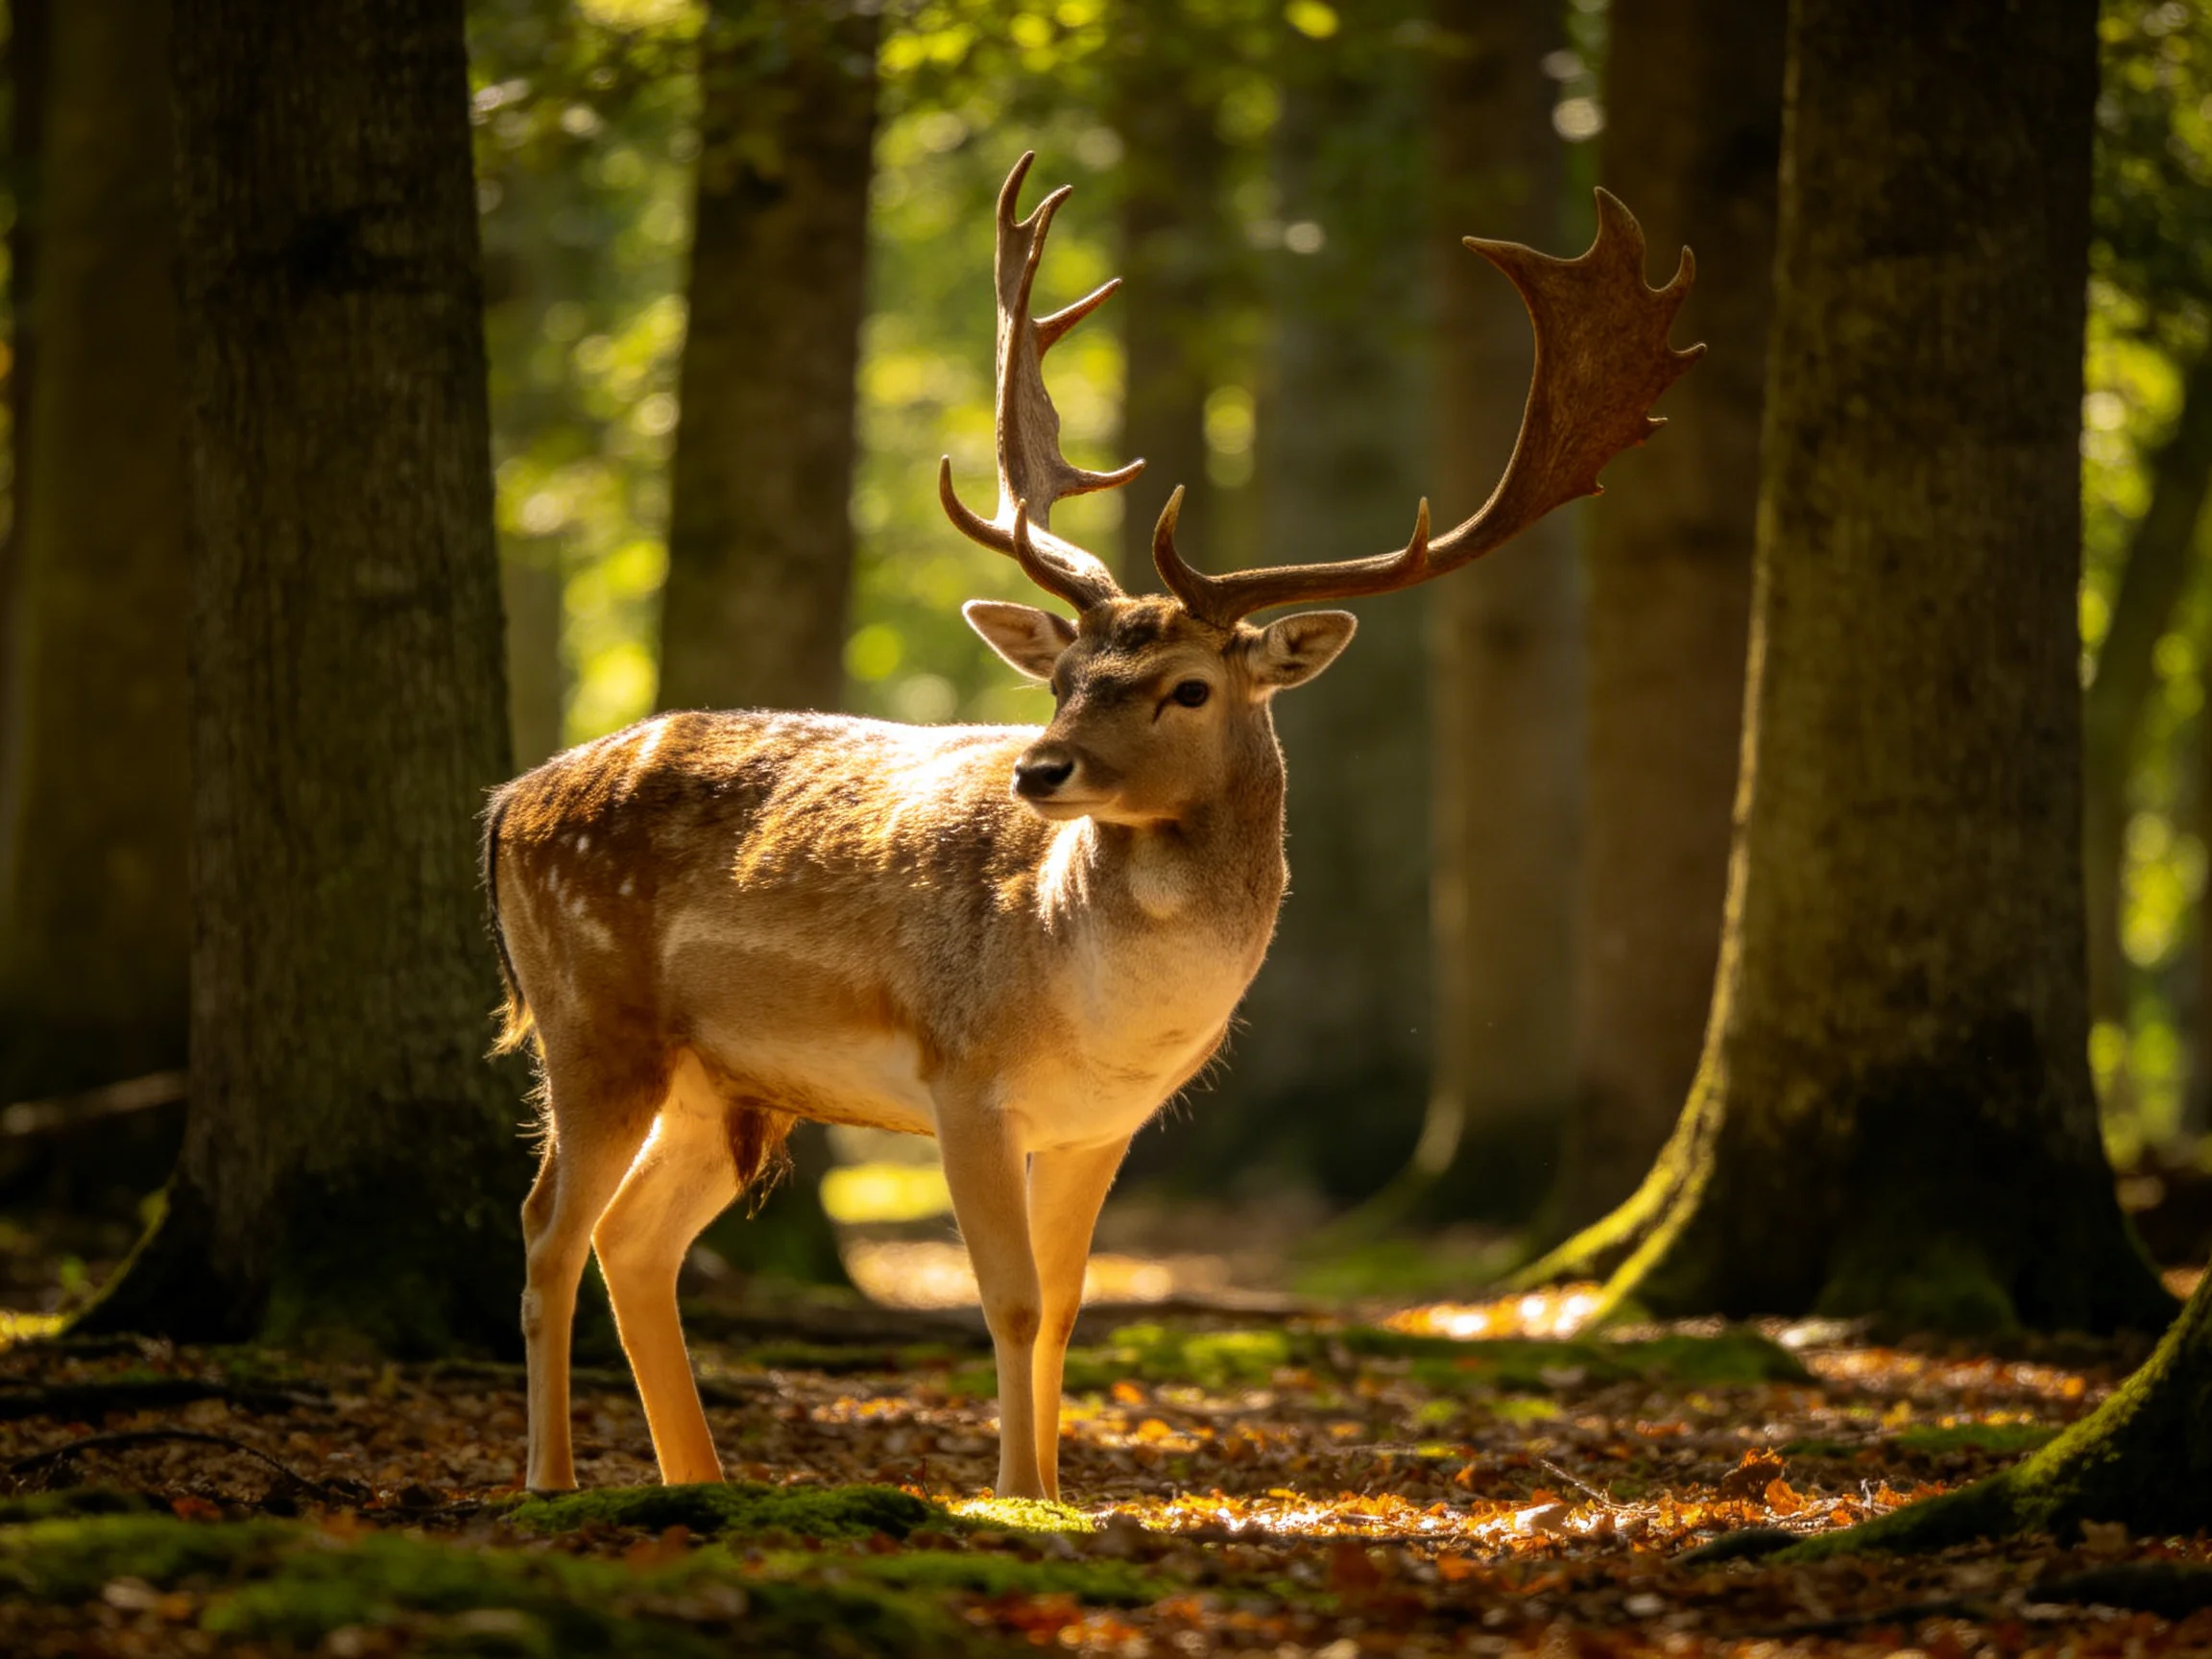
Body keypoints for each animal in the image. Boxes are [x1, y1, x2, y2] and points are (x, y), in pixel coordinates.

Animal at [483, 152, 1699, 1501]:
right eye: (1064, 676)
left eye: (1189, 687)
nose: (1040, 768)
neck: (1104, 1005)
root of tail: (504, 805)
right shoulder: (963, 1075)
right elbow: (1006, 1301)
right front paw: (1015, 1497)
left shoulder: (1101, 1123)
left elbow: (1063, 1306)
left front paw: (1053, 1491)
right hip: (592, 1013)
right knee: (548, 1231)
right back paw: (551, 1479)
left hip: (722, 1079)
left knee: (635, 1242)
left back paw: (698, 1479)